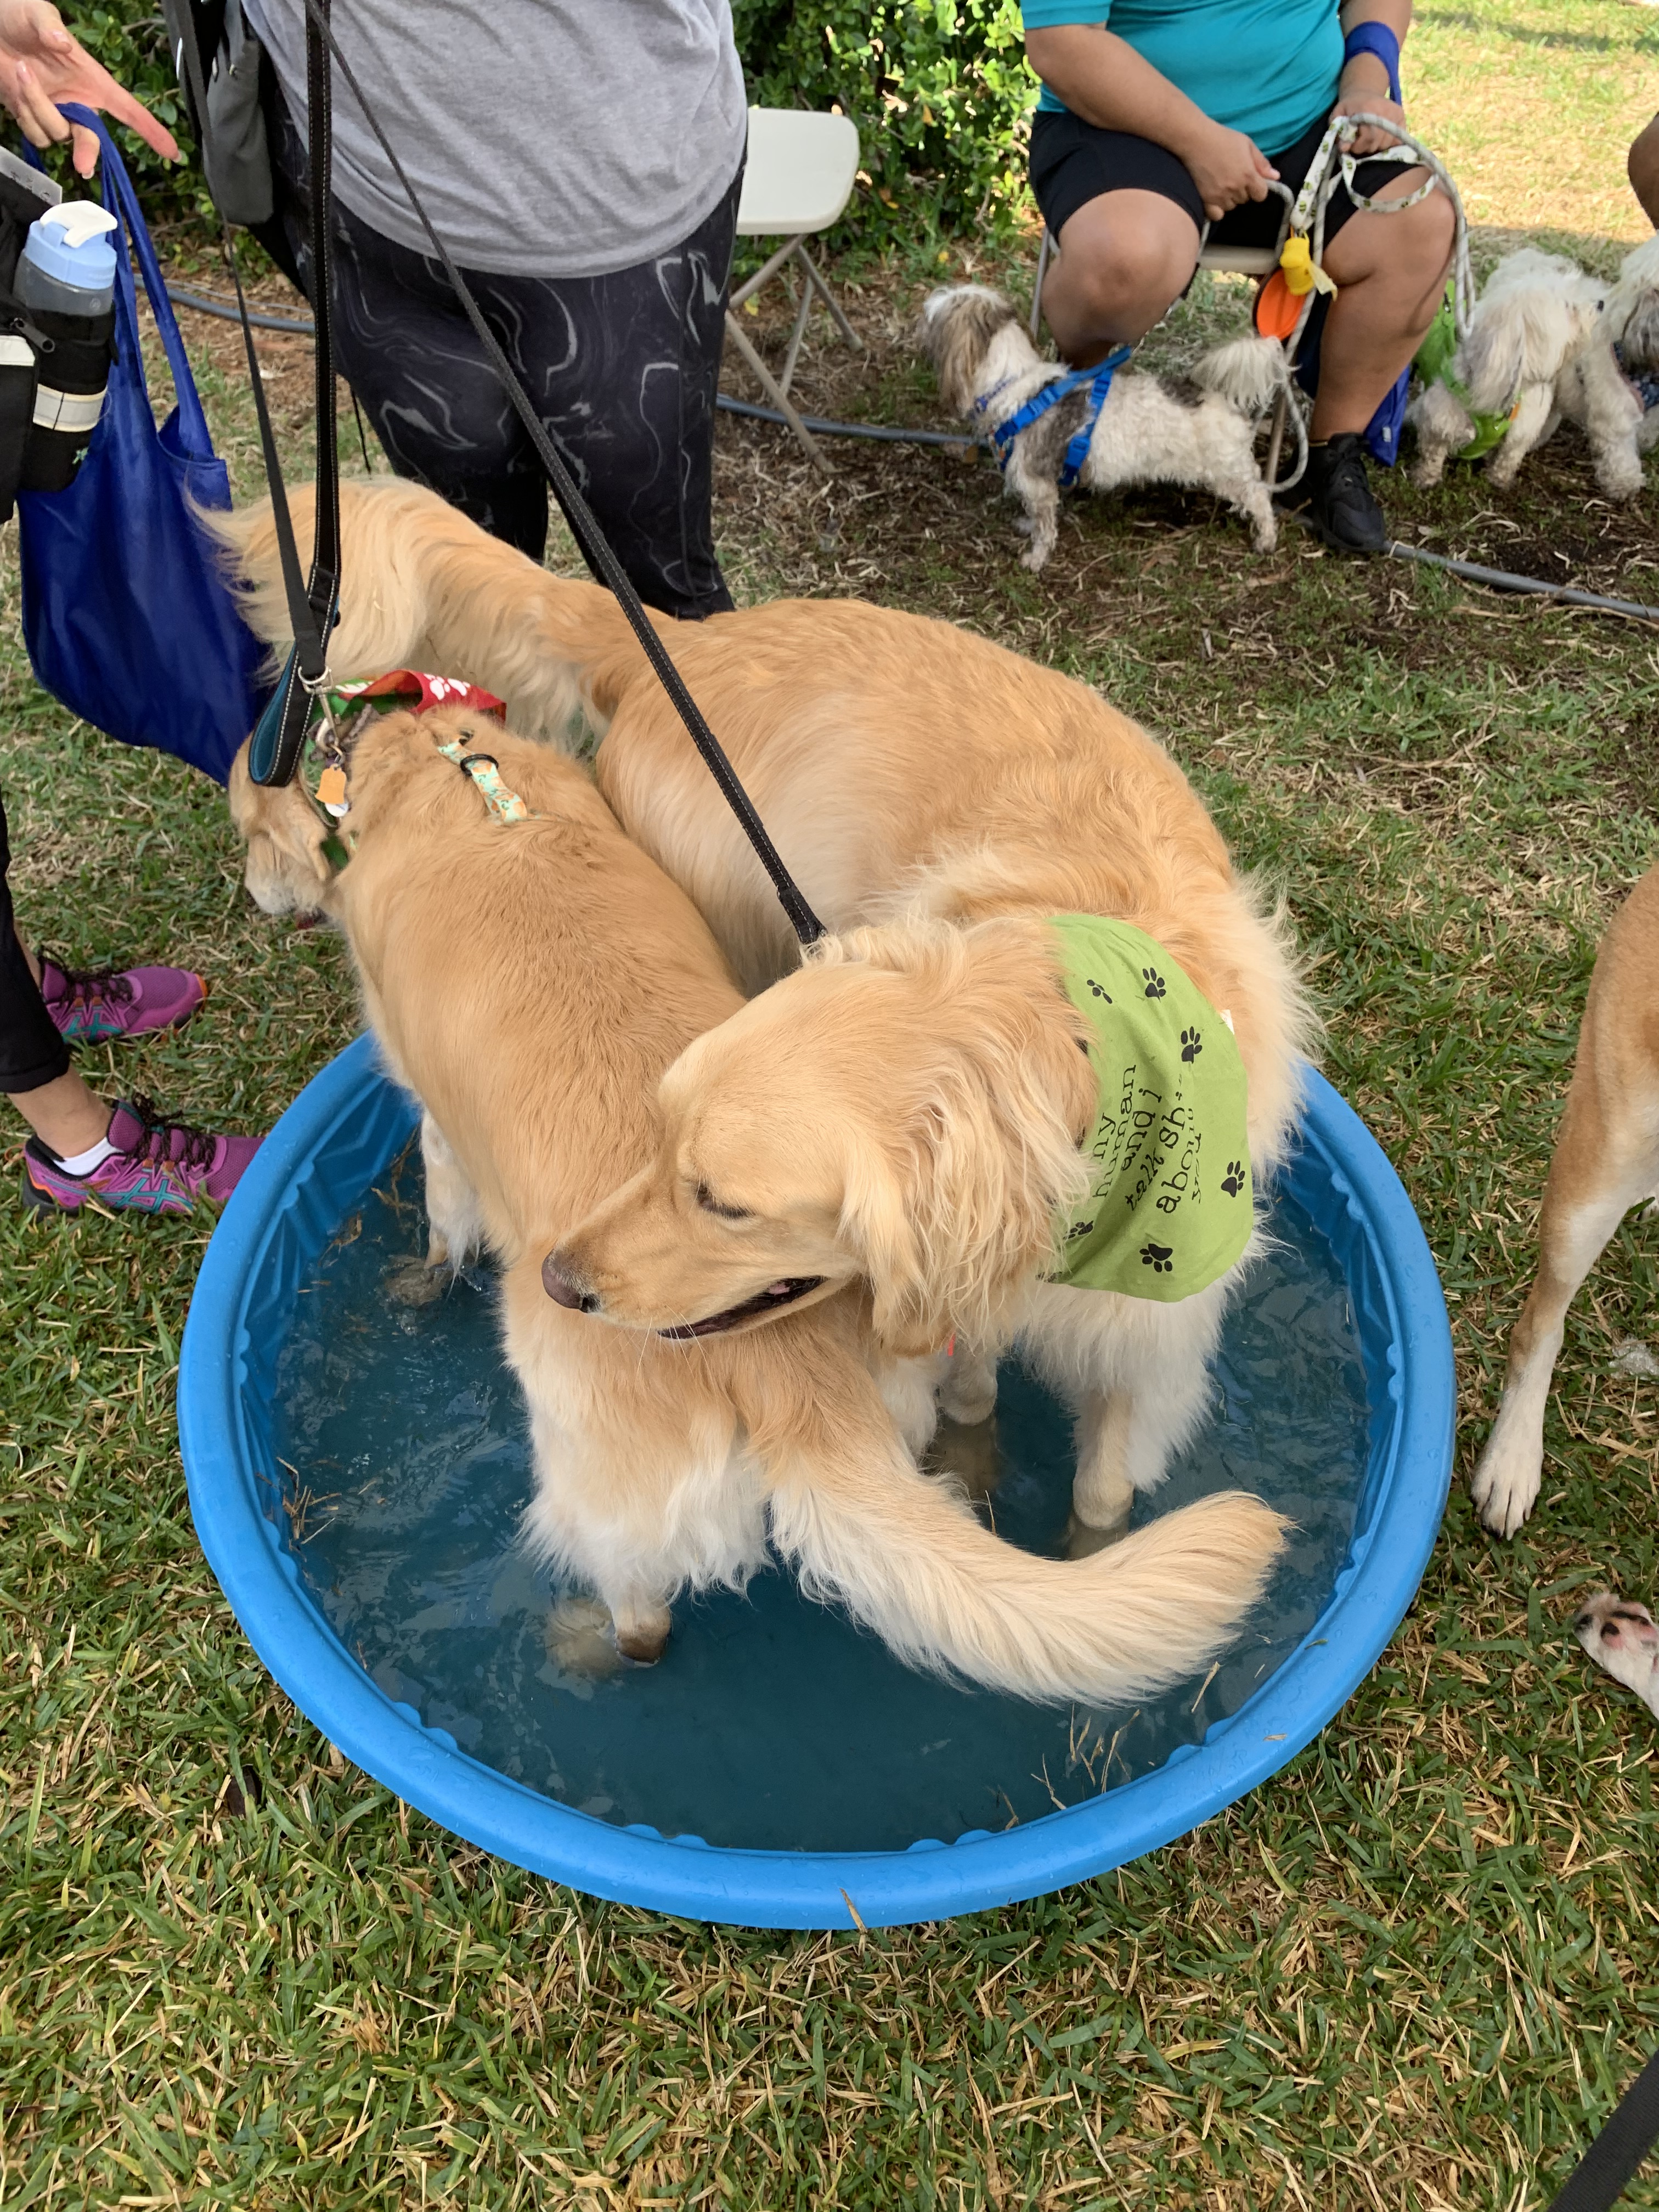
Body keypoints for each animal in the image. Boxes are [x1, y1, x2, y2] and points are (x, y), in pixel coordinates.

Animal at [218, 479, 1309, 1557]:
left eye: (725, 1203)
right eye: (660, 1146)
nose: (560, 1281)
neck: (1079, 1029)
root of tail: (678, 639)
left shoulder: (1148, 1345)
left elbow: (1102, 1495)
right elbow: (970, 1397)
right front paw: (973, 1471)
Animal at [250, 699, 1283, 1699]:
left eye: (726, 1202)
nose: (556, 1281)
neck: (456, 769)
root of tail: (798, 1383)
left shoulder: (424, 1108)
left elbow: (442, 1210)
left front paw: (425, 1278)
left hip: (603, 1490)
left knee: (642, 1619)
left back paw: (586, 1641)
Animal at [929, 285, 1291, 571]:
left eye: (938, 314)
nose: (926, 304)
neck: (1016, 387)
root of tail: (1217, 396)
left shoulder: (1037, 481)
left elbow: (1045, 527)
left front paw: (1036, 558)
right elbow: (1036, 516)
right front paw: (1027, 525)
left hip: (1225, 472)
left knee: (1259, 496)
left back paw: (1266, 538)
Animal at [1407, 249, 1654, 495]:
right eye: (1568, 307)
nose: (1601, 304)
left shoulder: (1523, 426)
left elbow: (1509, 455)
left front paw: (1500, 479)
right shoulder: (1438, 421)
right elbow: (1433, 453)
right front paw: (1426, 478)